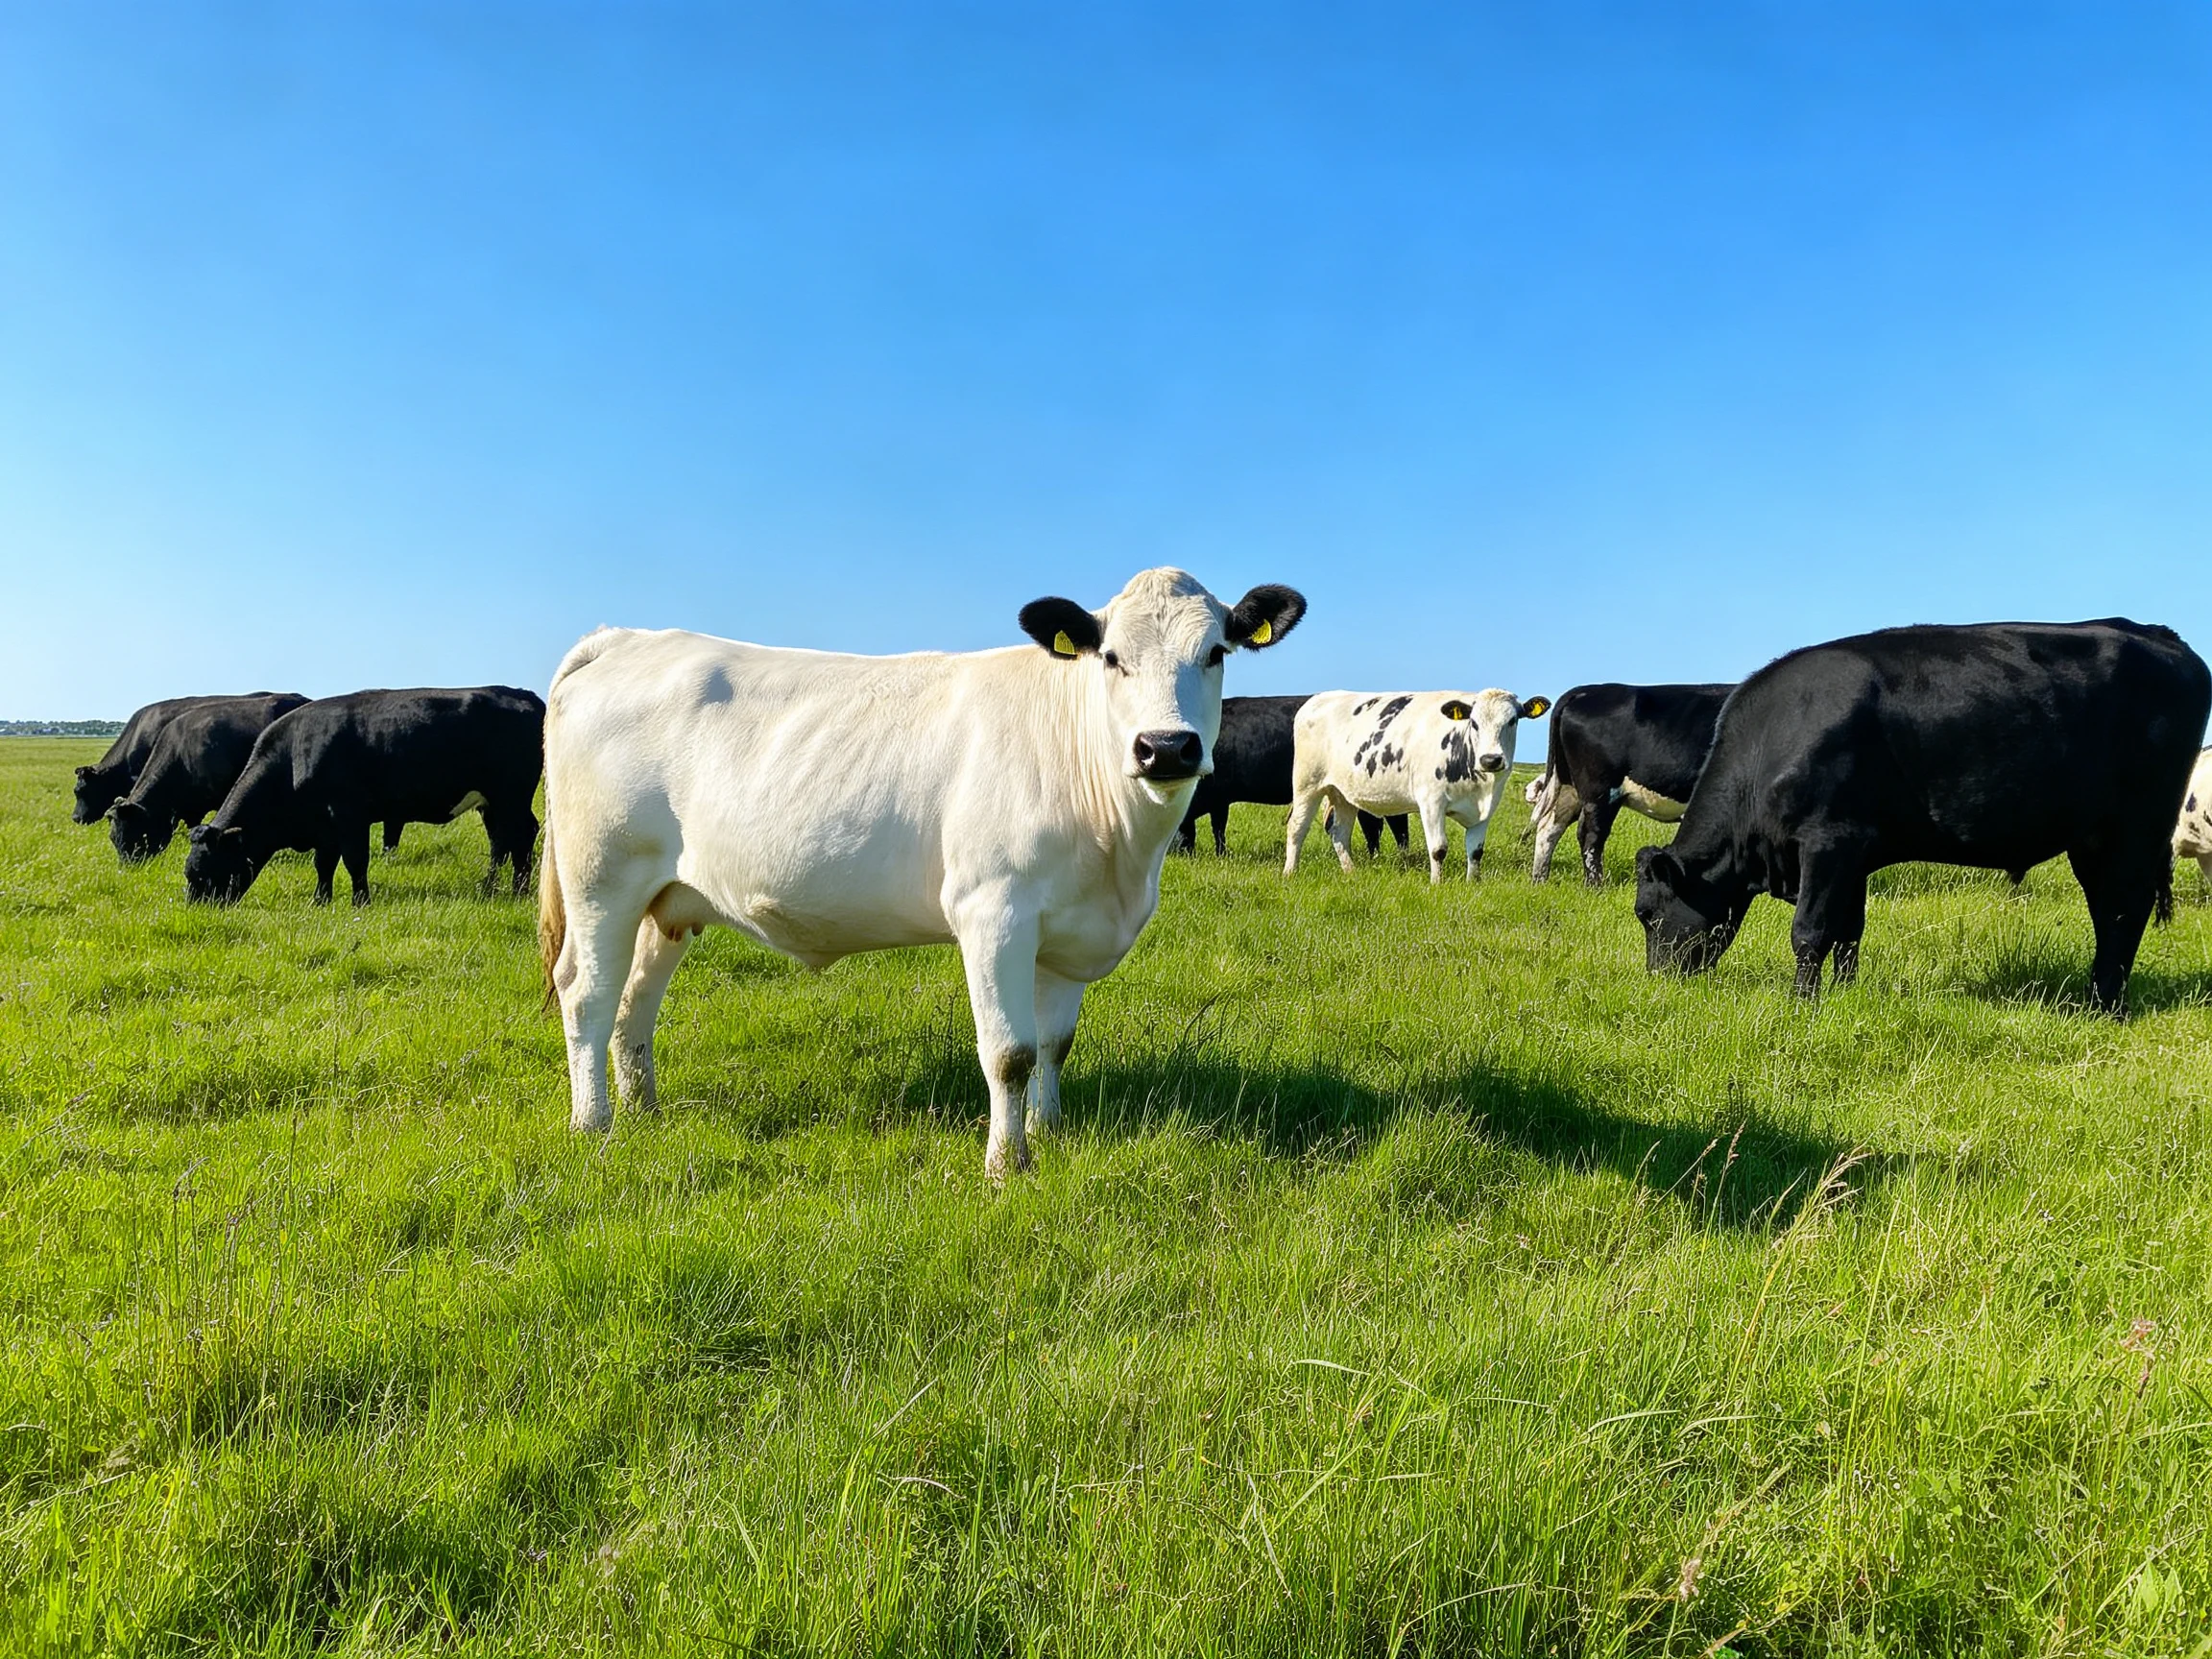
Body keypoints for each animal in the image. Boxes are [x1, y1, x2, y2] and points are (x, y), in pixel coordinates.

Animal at [184, 687, 545, 906]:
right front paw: (320, 901)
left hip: (512, 796)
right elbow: (324, 863)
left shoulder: (349, 816)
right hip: (493, 802)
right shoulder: (325, 827)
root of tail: (522, 694)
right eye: (189, 873)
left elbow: (355, 860)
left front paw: (361, 901)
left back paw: (518, 890)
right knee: (501, 841)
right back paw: (491, 888)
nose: (196, 908)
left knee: (522, 835)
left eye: (204, 872)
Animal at [536, 568, 1306, 1179]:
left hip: (669, 898)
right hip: (601, 877)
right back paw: (593, 1125)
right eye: (1111, 657)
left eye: (1215, 652)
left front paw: (1051, 1133)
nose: (1166, 748)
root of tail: (629, 638)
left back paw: (643, 1111)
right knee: (586, 994)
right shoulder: (992, 911)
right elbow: (1010, 1053)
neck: (1121, 857)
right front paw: (1008, 1164)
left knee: (634, 1003)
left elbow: (1054, 1044)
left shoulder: (1066, 929)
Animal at [1176, 694, 1408, 857]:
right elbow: (1218, 828)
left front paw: (1221, 855)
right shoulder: (1219, 799)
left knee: (1392, 824)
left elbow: (1217, 828)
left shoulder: (1218, 796)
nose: (1180, 855)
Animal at [1285, 689, 1552, 883]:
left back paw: (1352, 873)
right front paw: (1436, 884)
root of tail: (1320, 697)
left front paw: (1472, 883)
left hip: (1343, 794)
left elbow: (1476, 851)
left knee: (1339, 833)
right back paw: (1290, 872)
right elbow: (1438, 848)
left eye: (1512, 720)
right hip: (1307, 785)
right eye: (1474, 723)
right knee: (1297, 828)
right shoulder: (1431, 801)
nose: (1491, 759)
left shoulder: (1486, 809)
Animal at [1526, 682, 1735, 884]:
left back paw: (1540, 880)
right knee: (1591, 835)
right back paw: (1595, 885)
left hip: (1569, 785)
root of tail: (1587, 690)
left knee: (1550, 826)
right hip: (1599, 789)